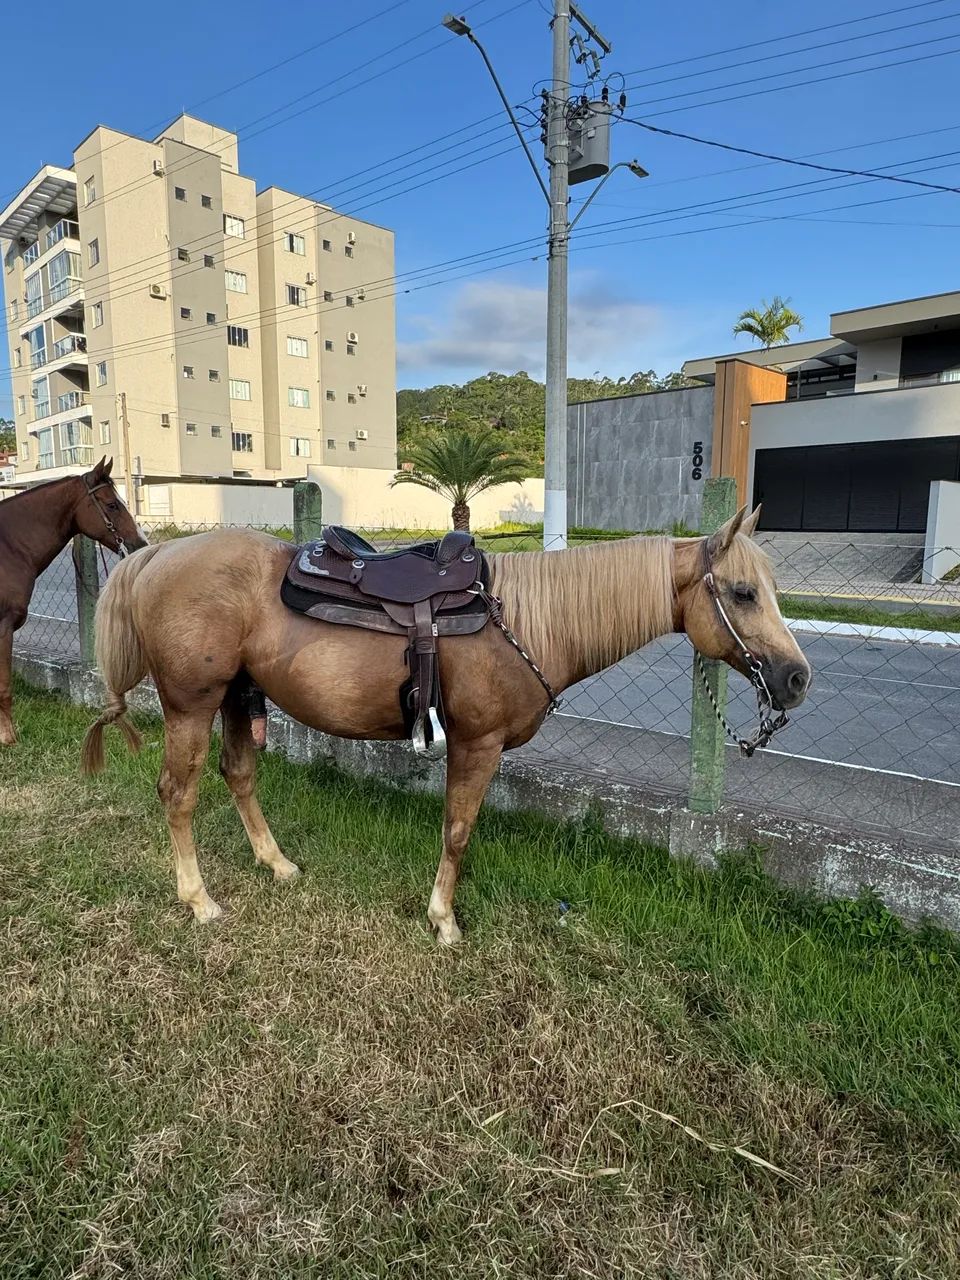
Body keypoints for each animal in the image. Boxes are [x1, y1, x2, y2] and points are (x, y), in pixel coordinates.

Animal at [0, 457, 145, 746]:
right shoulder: (3, 627)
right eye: (112, 505)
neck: (8, 547)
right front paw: (8, 737)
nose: (140, 544)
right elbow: (4, 686)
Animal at [82, 504, 810, 943]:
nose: (797, 679)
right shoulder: (477, 745)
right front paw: (444, 920)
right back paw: (198, 899)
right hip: (193, 704)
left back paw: (276, 863)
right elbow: (458, 831)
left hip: (237, 696)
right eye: (743, 592)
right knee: (178, 794)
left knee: (238, 775)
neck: (522, 619)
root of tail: (156, 557)